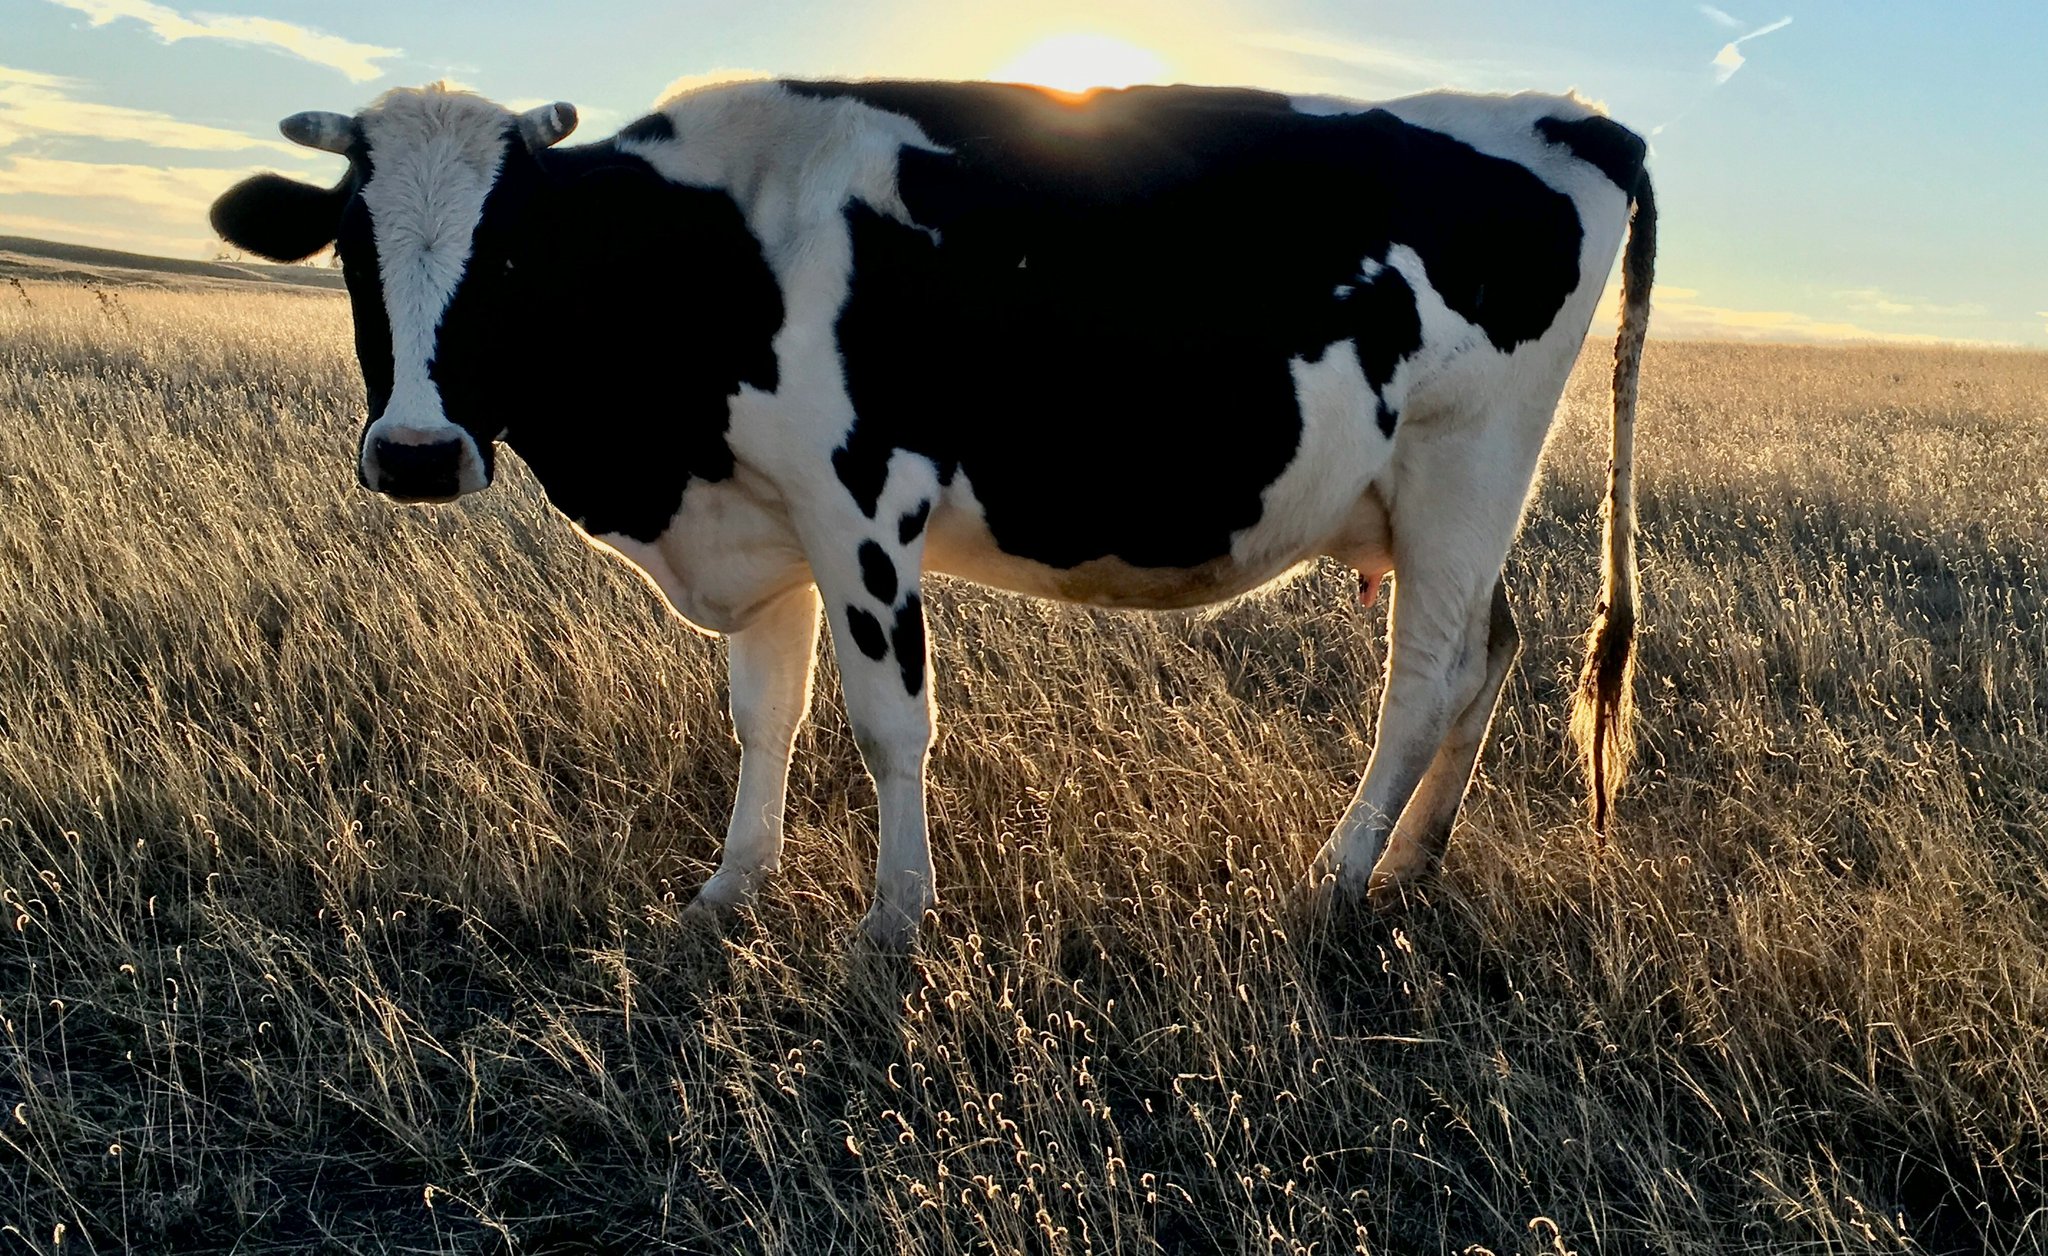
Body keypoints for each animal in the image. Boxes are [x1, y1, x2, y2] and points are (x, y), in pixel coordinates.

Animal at [209, 78, 1654, 950]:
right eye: (349, 248)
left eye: (512, 250)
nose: (415, 452)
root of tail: (1573, 117)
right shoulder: (769, 520)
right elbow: (765, 715)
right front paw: (728, 889)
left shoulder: (860, 501)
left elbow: (888, 722)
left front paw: (894, 919)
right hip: (1441, 501)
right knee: (1490, 651)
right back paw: (1411, 864)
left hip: (1468, 464)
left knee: (1423, 679)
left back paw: (1336, 874)